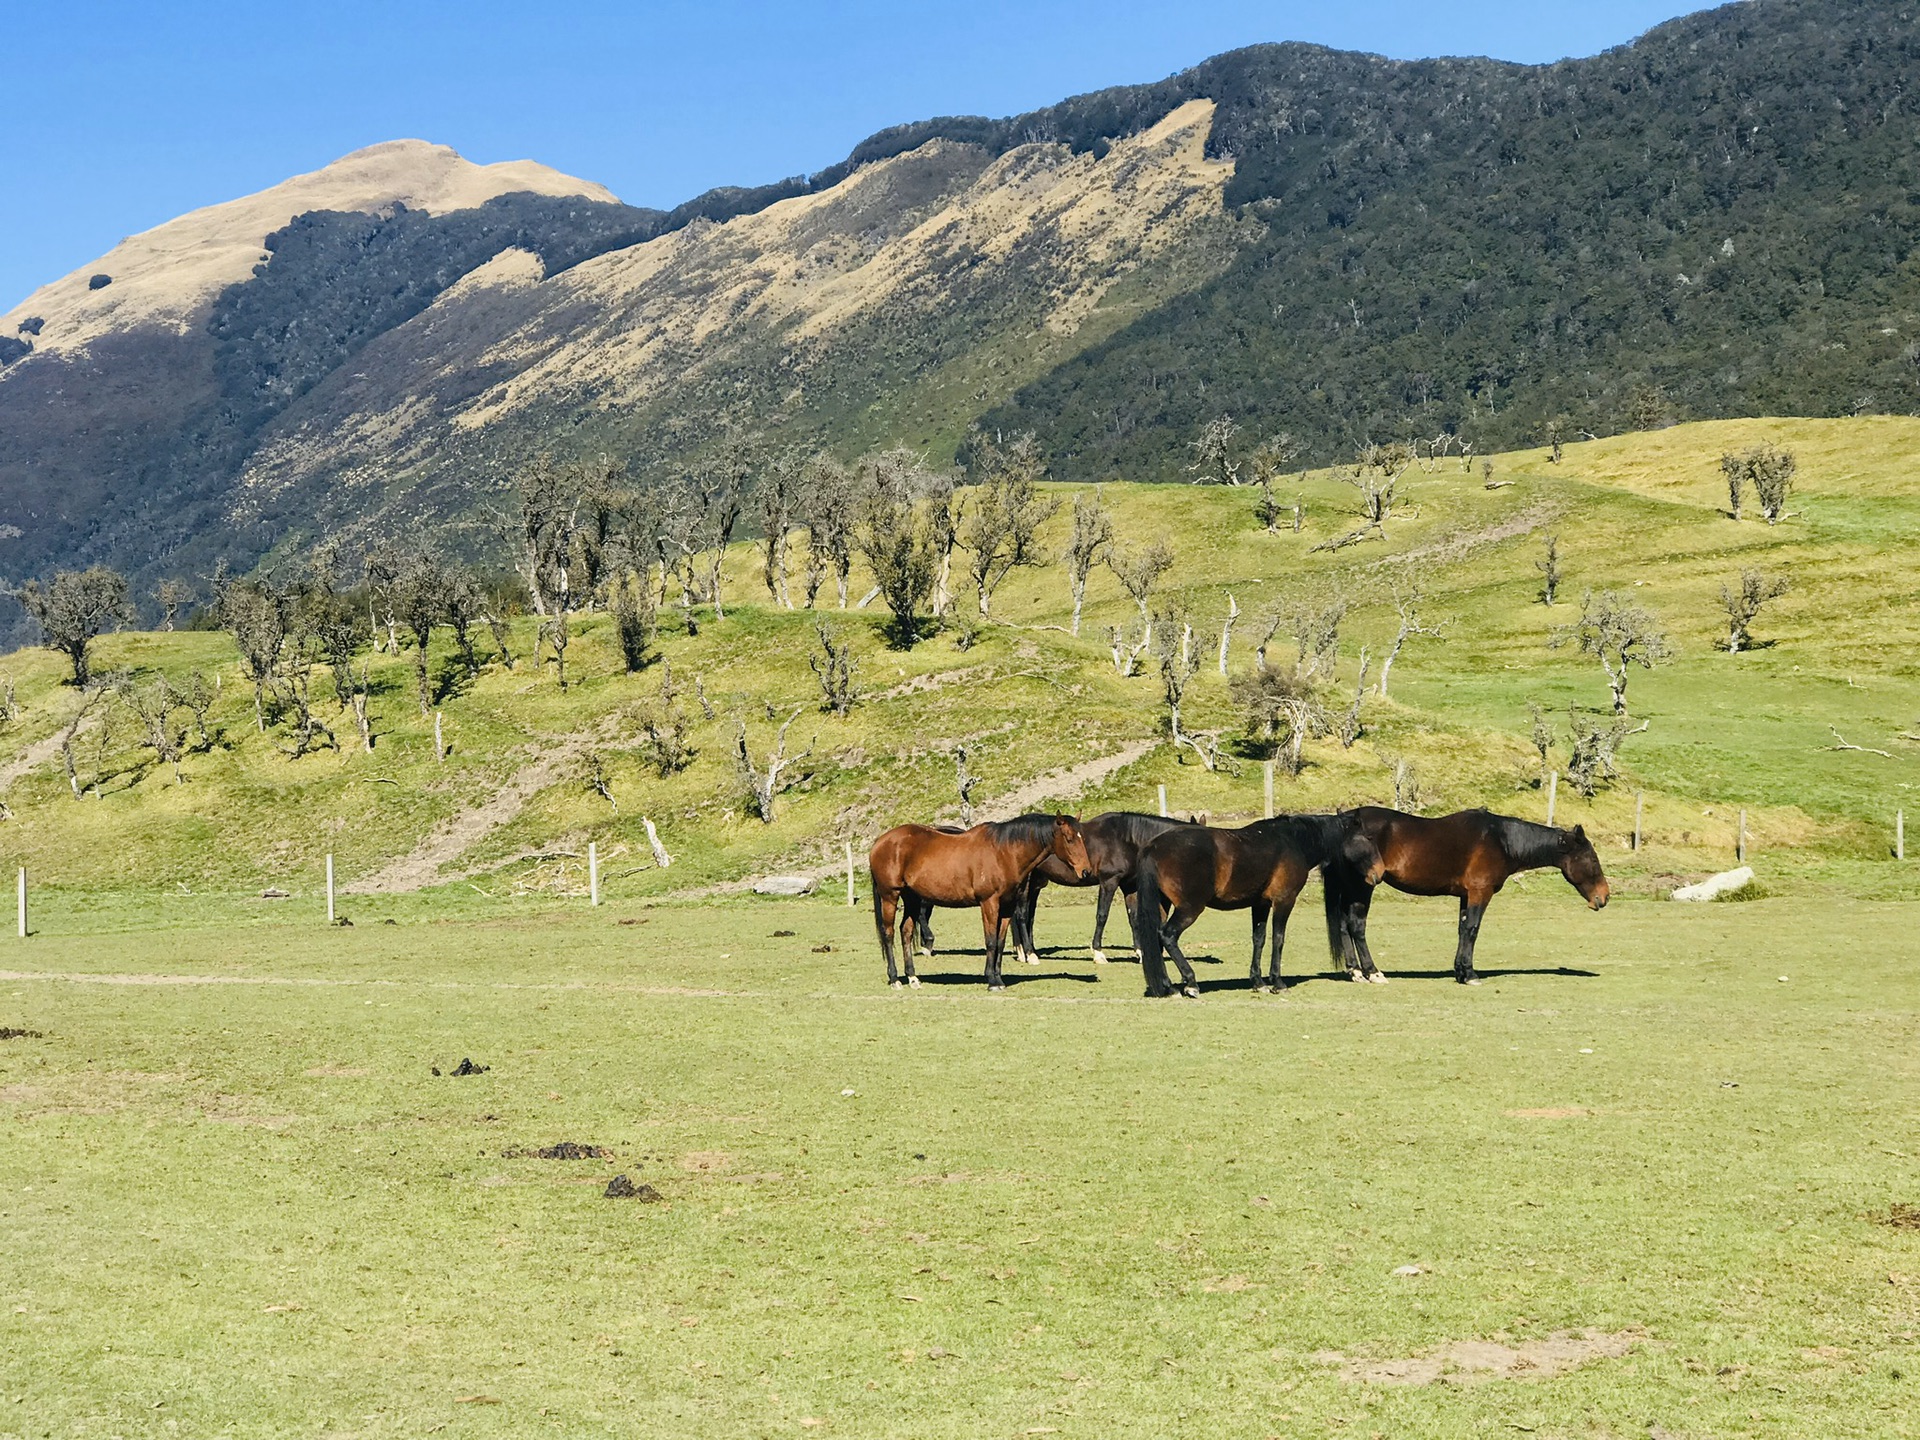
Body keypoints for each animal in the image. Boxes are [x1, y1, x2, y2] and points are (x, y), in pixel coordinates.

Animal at [875, 817, 1098, 998]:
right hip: (890, 896)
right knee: (888, 934)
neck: (1004, 852)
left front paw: (998, 979)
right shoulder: (989, 903)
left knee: (906, 932)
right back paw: (895, 979)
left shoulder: (1007, 906)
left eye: (1081, 837)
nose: (1086, 871)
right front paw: (991, 980)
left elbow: (1000, 942)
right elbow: (990, 941)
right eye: (1069, 838)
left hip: (911, 897)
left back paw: (913, 978)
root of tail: (880, 842)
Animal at [1121, 817, 1382, 998]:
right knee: (1168, 936)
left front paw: (1258, 982)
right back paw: (1190, 982)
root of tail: (1154, 847)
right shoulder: (1284, 901)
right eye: (1368, 838)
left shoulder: (1260, 904)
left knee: (1156, 940)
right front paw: (1277, 982)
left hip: (1161, 905)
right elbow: (1278, 939)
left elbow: (1259, 939)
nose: (1379, 873)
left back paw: (1168, 987)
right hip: (1189, 908)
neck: (1293, 841)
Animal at [1313, 806, 1612, 990]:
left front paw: (1459, 971)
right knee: (1356, 926)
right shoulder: (1480, 892)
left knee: (1343, 926)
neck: (1501, 840)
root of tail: (1341, 823)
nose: (1604, 897)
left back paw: (1355, 972)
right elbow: (1472, 930)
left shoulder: (1465, 896)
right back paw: (1372, 972)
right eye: (1591, 859)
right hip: (1363, 887)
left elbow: (1461, 930)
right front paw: (1470, 974)